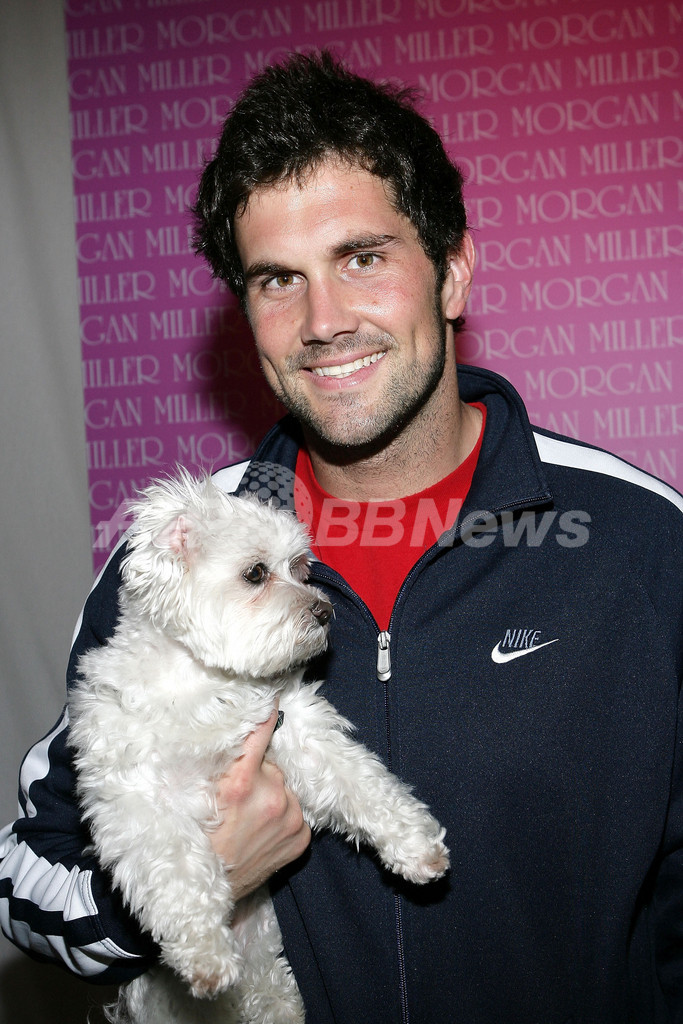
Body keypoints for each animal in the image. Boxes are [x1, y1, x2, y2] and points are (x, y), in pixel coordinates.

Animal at [68, 471, 449, 1024]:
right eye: (255, 573)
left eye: (300, 568)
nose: (325, 610)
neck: (206, 684)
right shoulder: (140, 801)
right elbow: (179, 871)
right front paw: (205, 954)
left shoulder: (295, 733)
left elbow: (363, 783)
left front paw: (415, 845)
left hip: (269, 976)